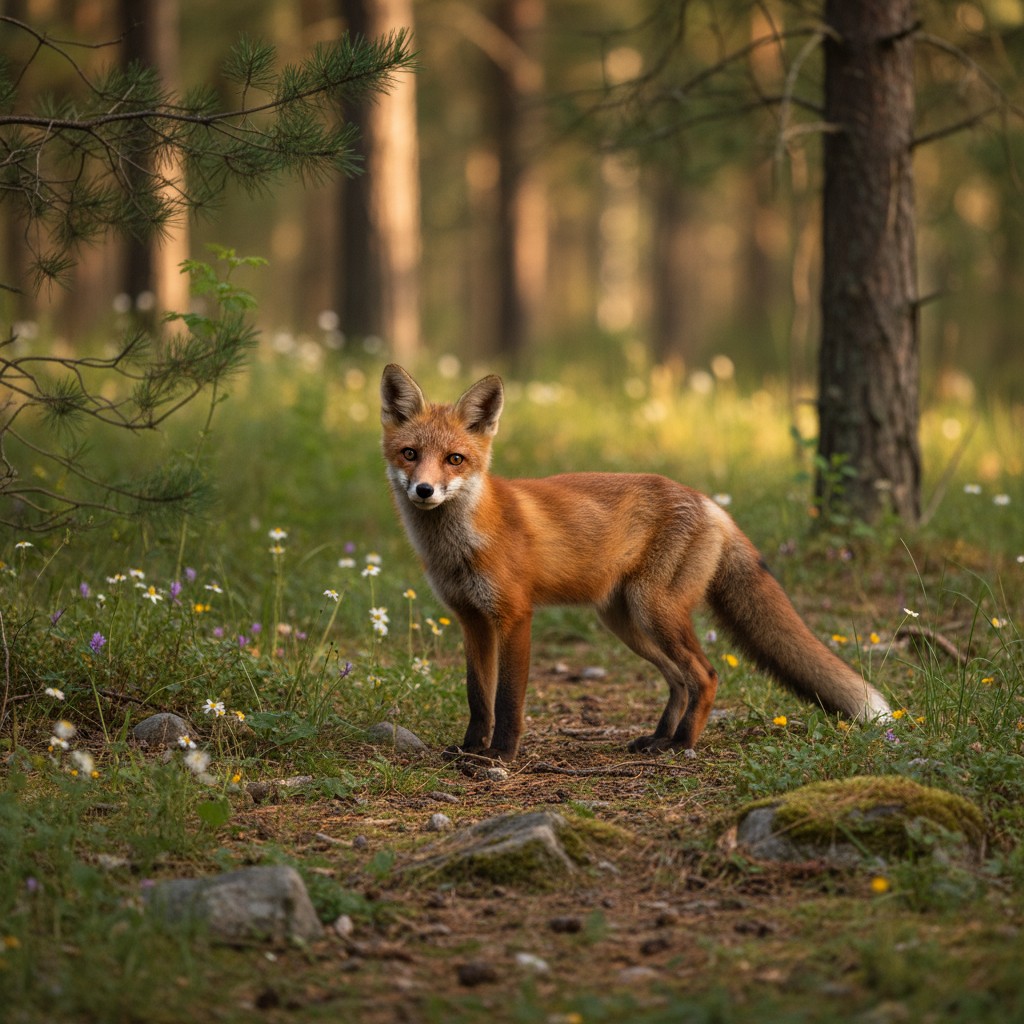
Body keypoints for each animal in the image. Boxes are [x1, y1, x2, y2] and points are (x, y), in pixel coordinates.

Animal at [380, 363, 891, 763]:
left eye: (455, 459)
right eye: (410, 454)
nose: (424, 490)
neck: (459, 547)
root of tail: (708, 502)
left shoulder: (515, 616)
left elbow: (507, 700)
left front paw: (500, 756)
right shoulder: (472, 619)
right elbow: (477, 696)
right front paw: (469, 749)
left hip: (654, 610)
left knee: (705, 675)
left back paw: (681, 744)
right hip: (625, 621)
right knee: (679, 681)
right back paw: (659, 737)